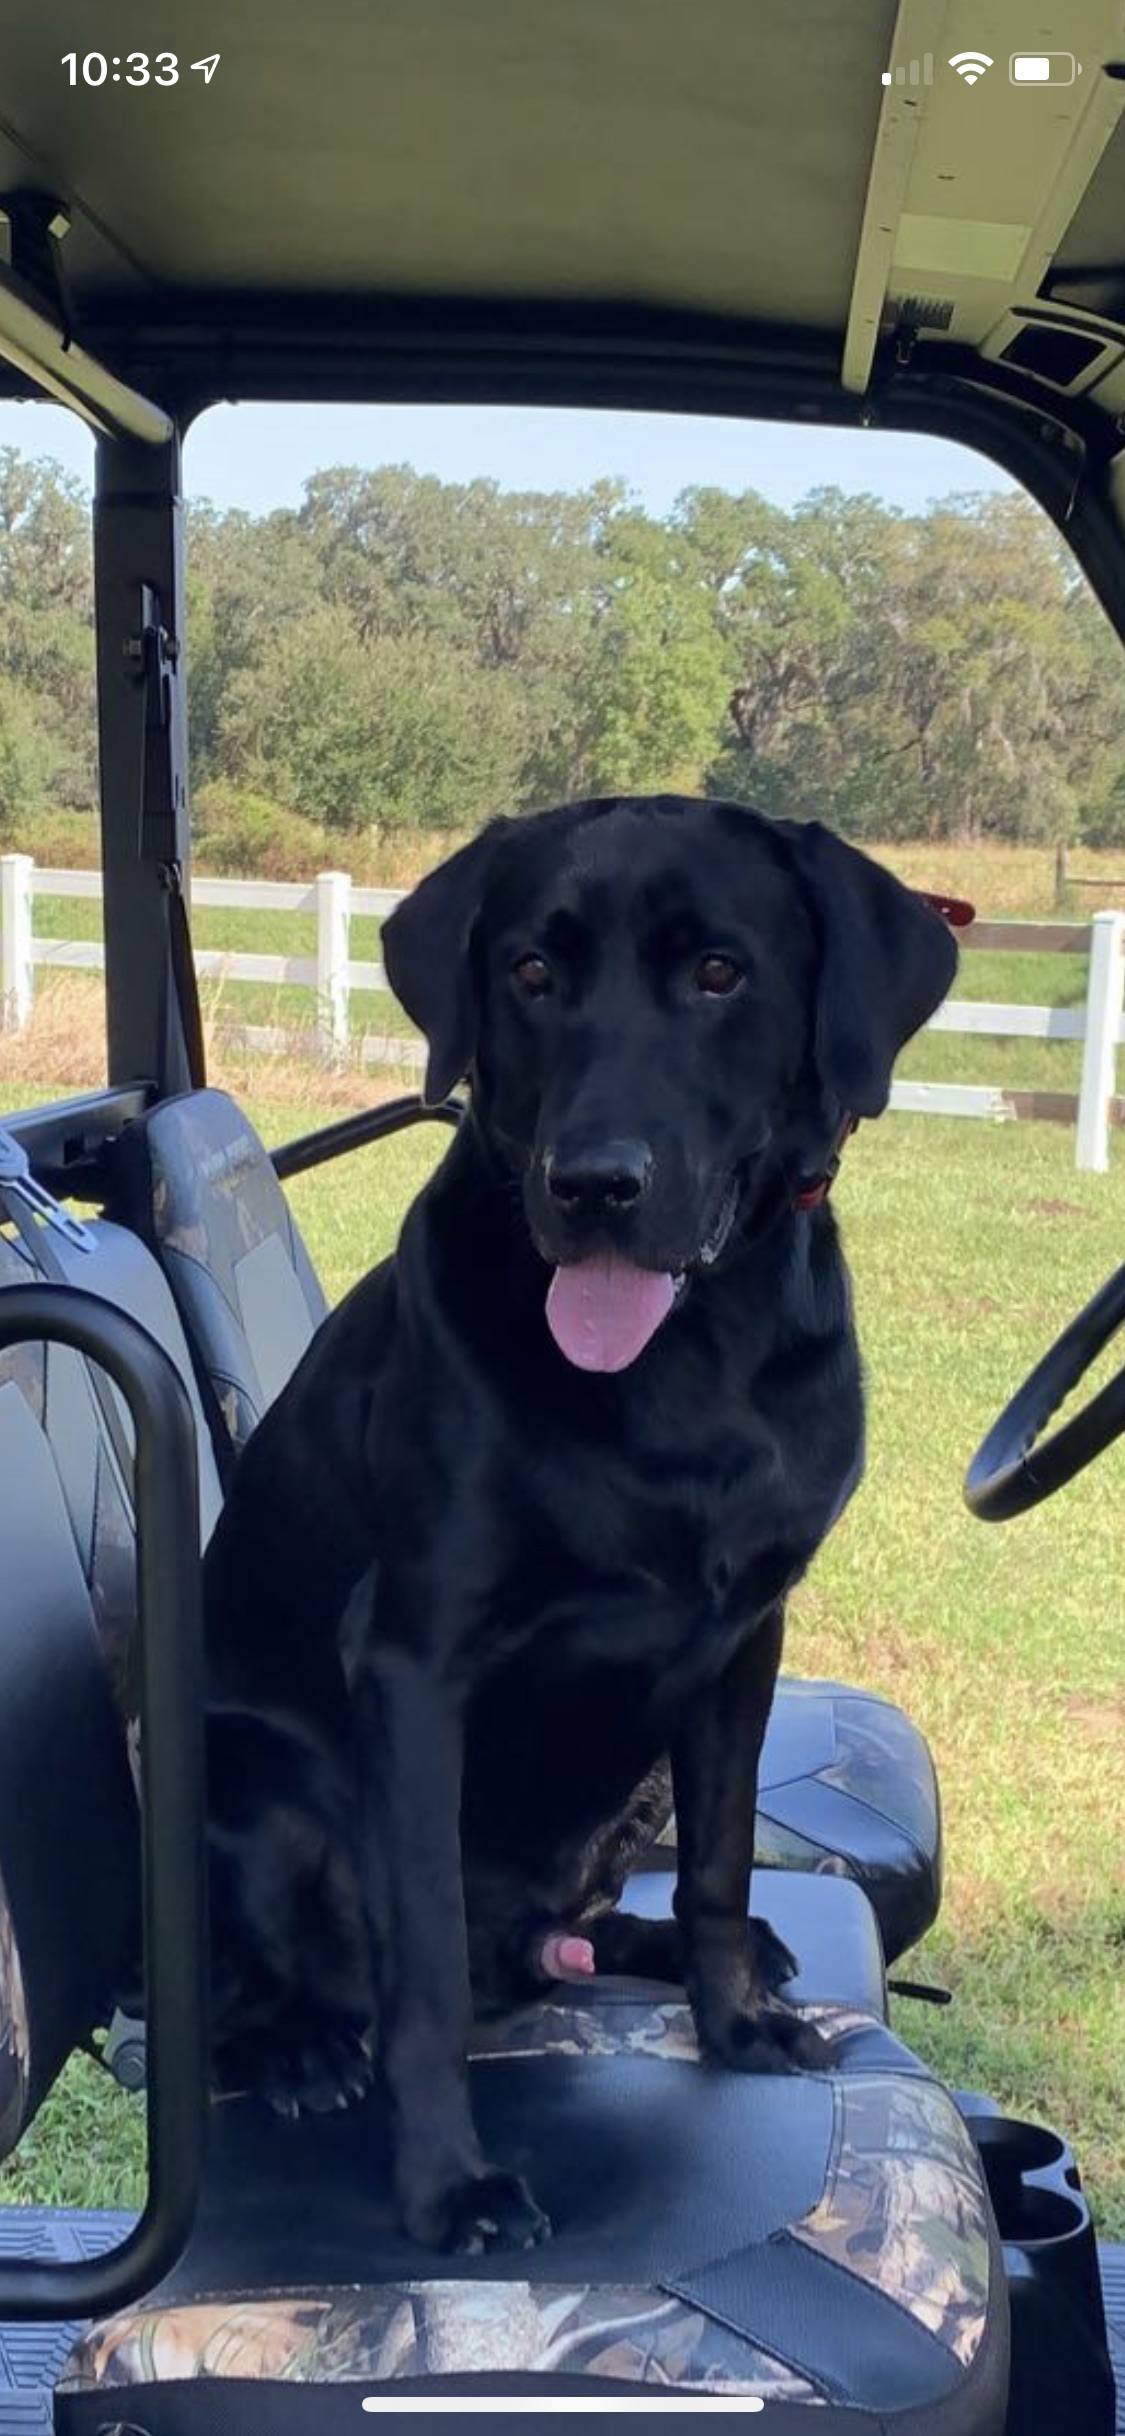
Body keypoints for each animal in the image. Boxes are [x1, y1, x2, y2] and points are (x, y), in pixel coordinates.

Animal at [199, 794, 949, 2241]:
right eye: (531, 974)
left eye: (718, 973)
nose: (593, 1184)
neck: (689, 1362)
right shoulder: (415, 1661)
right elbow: (423, 1965)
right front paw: (449, 2184)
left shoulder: (744, 1642)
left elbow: (719, 1866)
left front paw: (734, 2020)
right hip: (245, 1772)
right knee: (278, 1972)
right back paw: (298, 2046)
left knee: (588, 1932)